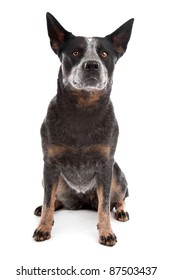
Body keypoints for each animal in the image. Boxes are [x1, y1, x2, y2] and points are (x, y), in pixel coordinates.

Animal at [33, 12, 134, 246]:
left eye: (104, 53)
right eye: (75, 52)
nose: (92, 65)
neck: (83, 111)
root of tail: (82, 201)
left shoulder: (106, 165)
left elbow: (105, 206)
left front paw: (106, 232)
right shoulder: (50, 164)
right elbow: (48, 200)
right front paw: (43, 226)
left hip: (117, 175)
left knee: (119, 198)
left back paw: (121, 211)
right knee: (54, 199)